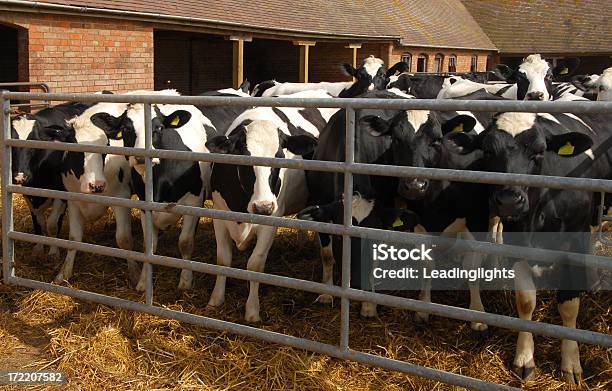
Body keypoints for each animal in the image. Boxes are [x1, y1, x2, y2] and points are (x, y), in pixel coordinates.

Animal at [10, 102, 91, 258]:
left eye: (35, 141)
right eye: (11, 144)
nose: (20, 176)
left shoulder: (62, 192)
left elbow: (52, 224)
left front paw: (54, 250)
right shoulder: (28, 193)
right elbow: (38, 221)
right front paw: (39, 246)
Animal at [203, 90, 338, 324]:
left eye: (280, 157)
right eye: (244, 158)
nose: (263, 206)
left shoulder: (270, 222)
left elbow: (255, 265)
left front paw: (252, 311)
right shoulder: (219, 216)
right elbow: (222, 259)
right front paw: (215, 299)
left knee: (327, 254)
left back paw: (326, 292)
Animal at [450, 110, 612, 386]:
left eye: (539, 152)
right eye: (488, 151)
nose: (508, 201)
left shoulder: (573, 243)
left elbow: (569, 306)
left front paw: (571, 362)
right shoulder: (516, 244)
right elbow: (526, 301)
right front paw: (524, 359)